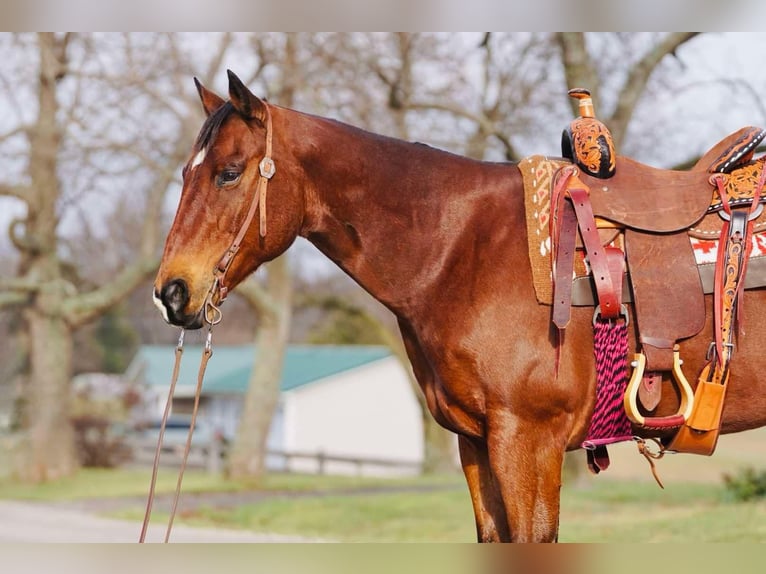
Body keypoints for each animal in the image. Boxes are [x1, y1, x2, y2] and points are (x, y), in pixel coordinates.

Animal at [153, 70, 766, 542]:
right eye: (185, 172)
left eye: (228, 173)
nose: (171, 292)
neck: (464, 248)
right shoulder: (476, 443)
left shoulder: (528, 441)